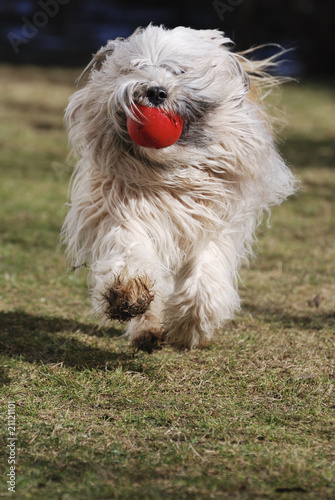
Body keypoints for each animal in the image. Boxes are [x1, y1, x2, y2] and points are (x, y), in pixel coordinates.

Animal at [63, 23, 296, 352]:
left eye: (180, 71)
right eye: (134, 67)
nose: (155, 91)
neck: (170, 175)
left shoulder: (213, 219)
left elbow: (205, 270)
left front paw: (190, 324)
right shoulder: (122, 208)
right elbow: (128, 246)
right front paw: (128, 291)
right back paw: (147, 329)